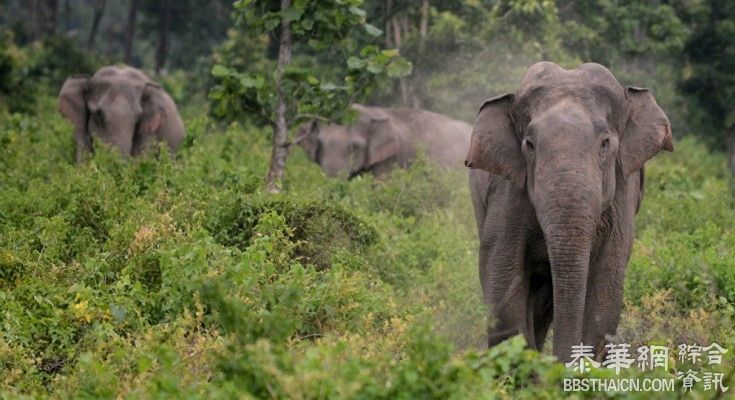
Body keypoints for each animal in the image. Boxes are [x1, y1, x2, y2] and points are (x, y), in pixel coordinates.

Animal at [468, 61, 676, 362]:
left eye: (605, 143)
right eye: (529, 145)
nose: (561, 363)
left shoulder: (622, 189)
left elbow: (607, 281)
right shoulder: (507, 189)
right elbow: (501, 268)